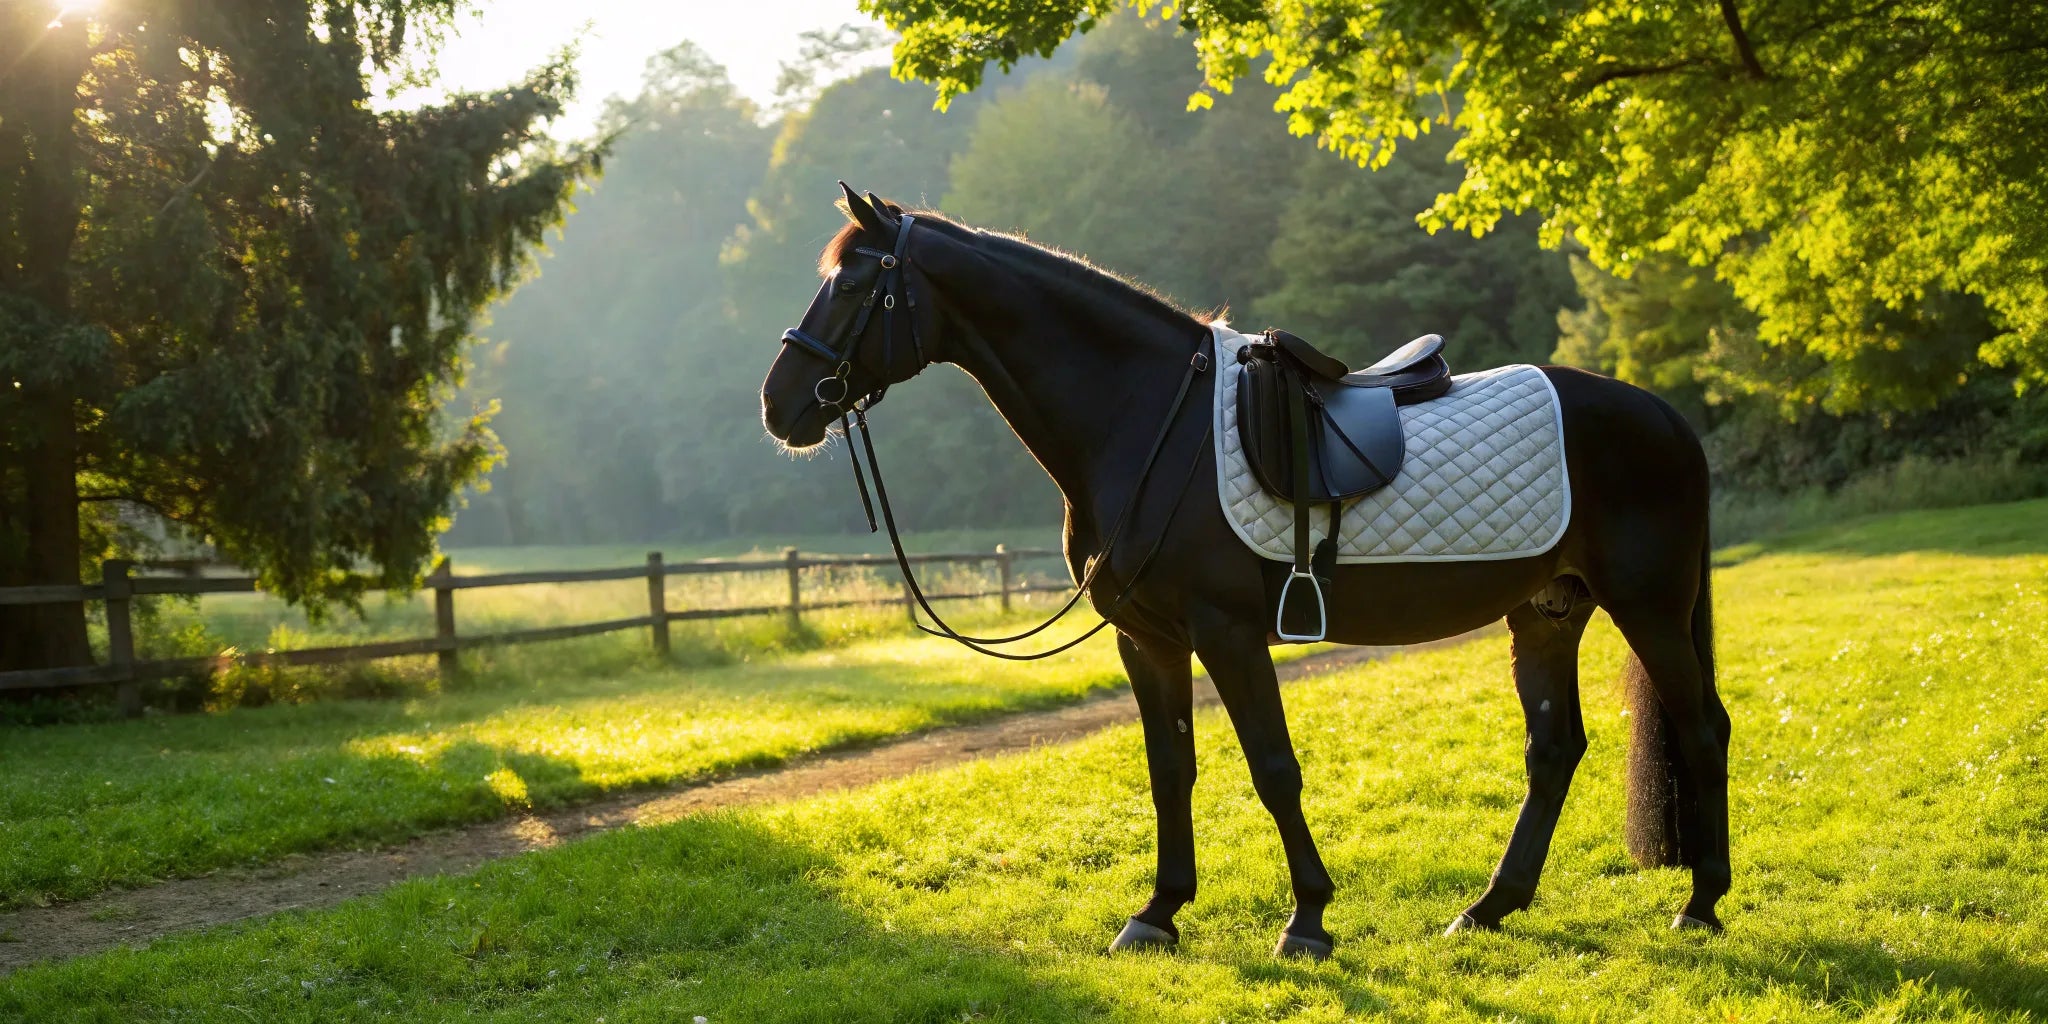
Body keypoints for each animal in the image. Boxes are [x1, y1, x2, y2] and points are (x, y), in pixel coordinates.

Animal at [759, 186, 1730, 959]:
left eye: (856, 284)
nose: (779, 402)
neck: (1151, 420)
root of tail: (1665, 417)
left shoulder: (1226, 633)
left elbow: (1272, 767)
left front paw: (1308, 921)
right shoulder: (1147, 640)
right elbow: (1169, 770)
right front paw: (1157, 913)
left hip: (1648, 606)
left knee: (1703, 726)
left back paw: (1701, 906)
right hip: (1546, 613)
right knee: (1554, 749)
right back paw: (1488, 909)